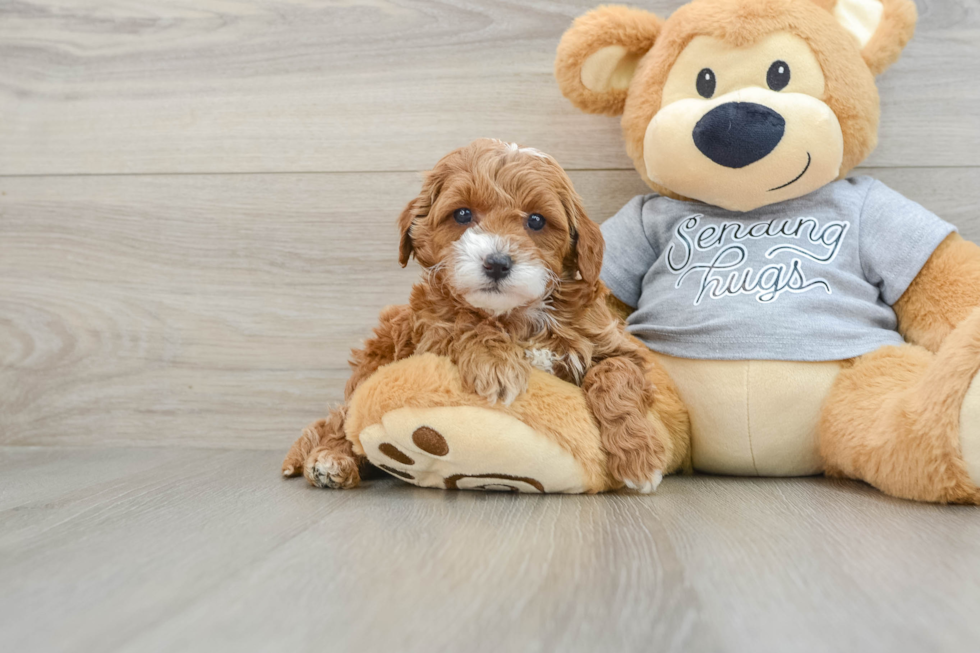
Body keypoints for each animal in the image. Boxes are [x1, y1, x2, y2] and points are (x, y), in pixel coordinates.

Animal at [282, 140, 668, 492]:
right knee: (341, 419)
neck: (517, 315)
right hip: (373, 362)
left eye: (536, 220)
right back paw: (331, 459)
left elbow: (615, 374)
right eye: (463, 215)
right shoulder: (430, 330)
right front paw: (496, 364)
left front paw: (640, 456)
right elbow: (463, 322)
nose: (497, 263)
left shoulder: (613, 344)